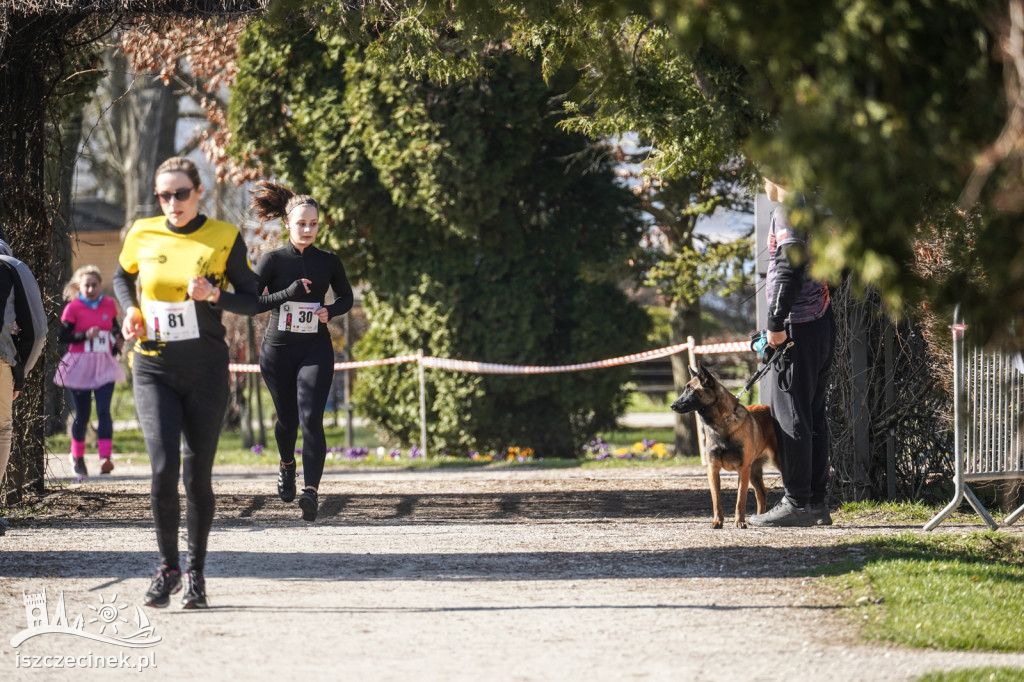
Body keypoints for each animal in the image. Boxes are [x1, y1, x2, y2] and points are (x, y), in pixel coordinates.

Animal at [671, 360, 774, 524]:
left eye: (690, 390)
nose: (672, 405)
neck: (721, 423)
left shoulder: (743, 469)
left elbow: (740, 499)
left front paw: (740, 522)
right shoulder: (713, 469)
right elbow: (716, 500)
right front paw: (717, 521)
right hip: (754, 471)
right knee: (762, 493)